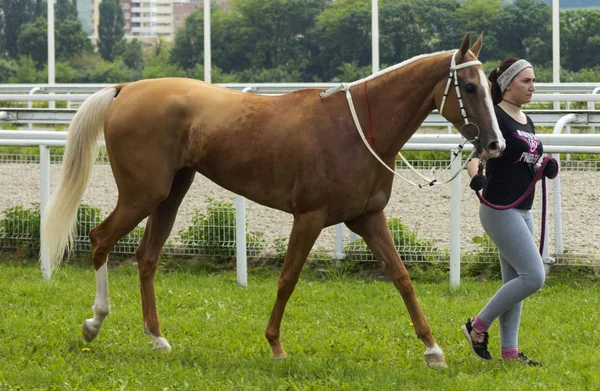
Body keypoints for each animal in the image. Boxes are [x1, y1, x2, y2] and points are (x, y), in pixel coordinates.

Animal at [39, 32, 504, 370]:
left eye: (490, 86)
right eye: (468, 86)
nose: (495, 144)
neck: (356, 130)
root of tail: (125, 89)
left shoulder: (368, 217)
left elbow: (402, 278)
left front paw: (433, 350)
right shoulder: (309, 217)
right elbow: (287, 279)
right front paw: (276, 346)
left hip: (171, 194)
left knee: (146, 257)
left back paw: (157, 338)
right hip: (142, 194)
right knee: (100, 239)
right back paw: (94, 323)